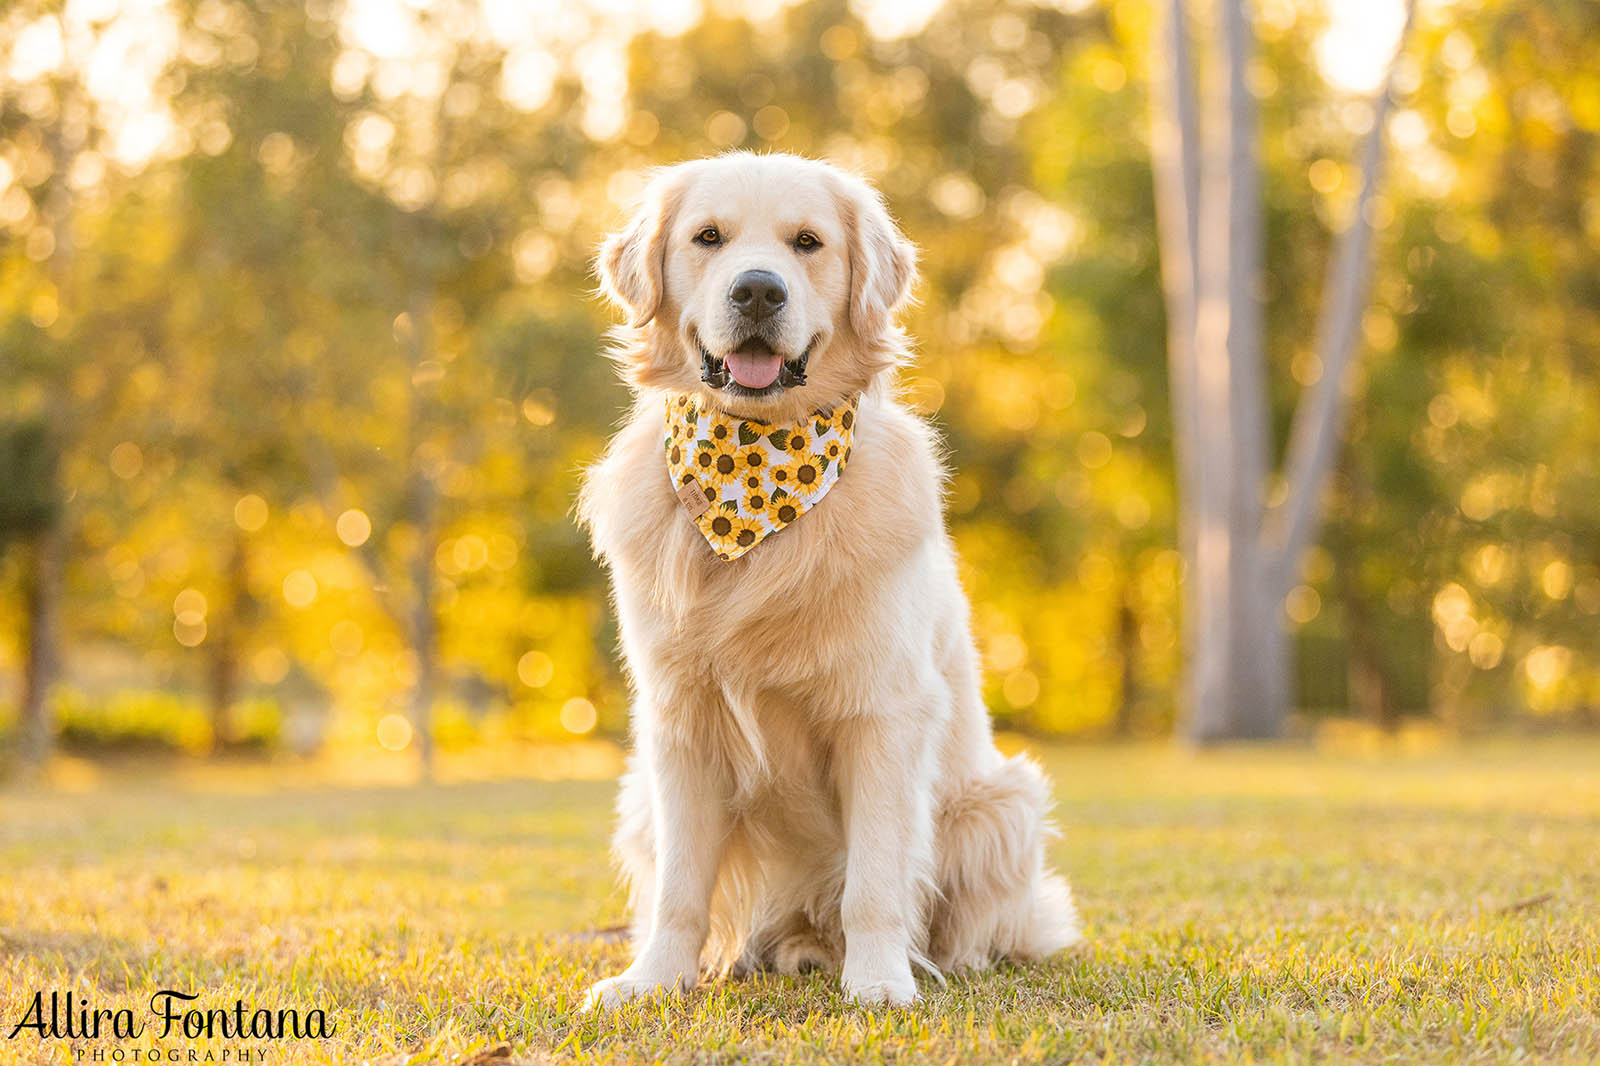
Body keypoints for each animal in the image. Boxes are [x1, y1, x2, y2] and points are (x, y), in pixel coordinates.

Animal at [572, 151, 1075, 1005]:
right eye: (708, 237)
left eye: (807, 242)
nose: (758, 291)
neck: (755, 476)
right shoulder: (679, 718)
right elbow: (679, 887)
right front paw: (654, 980)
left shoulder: (882, 711)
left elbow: (873, 880)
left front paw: (879, 983)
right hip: (638, 798)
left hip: (1003, 803)